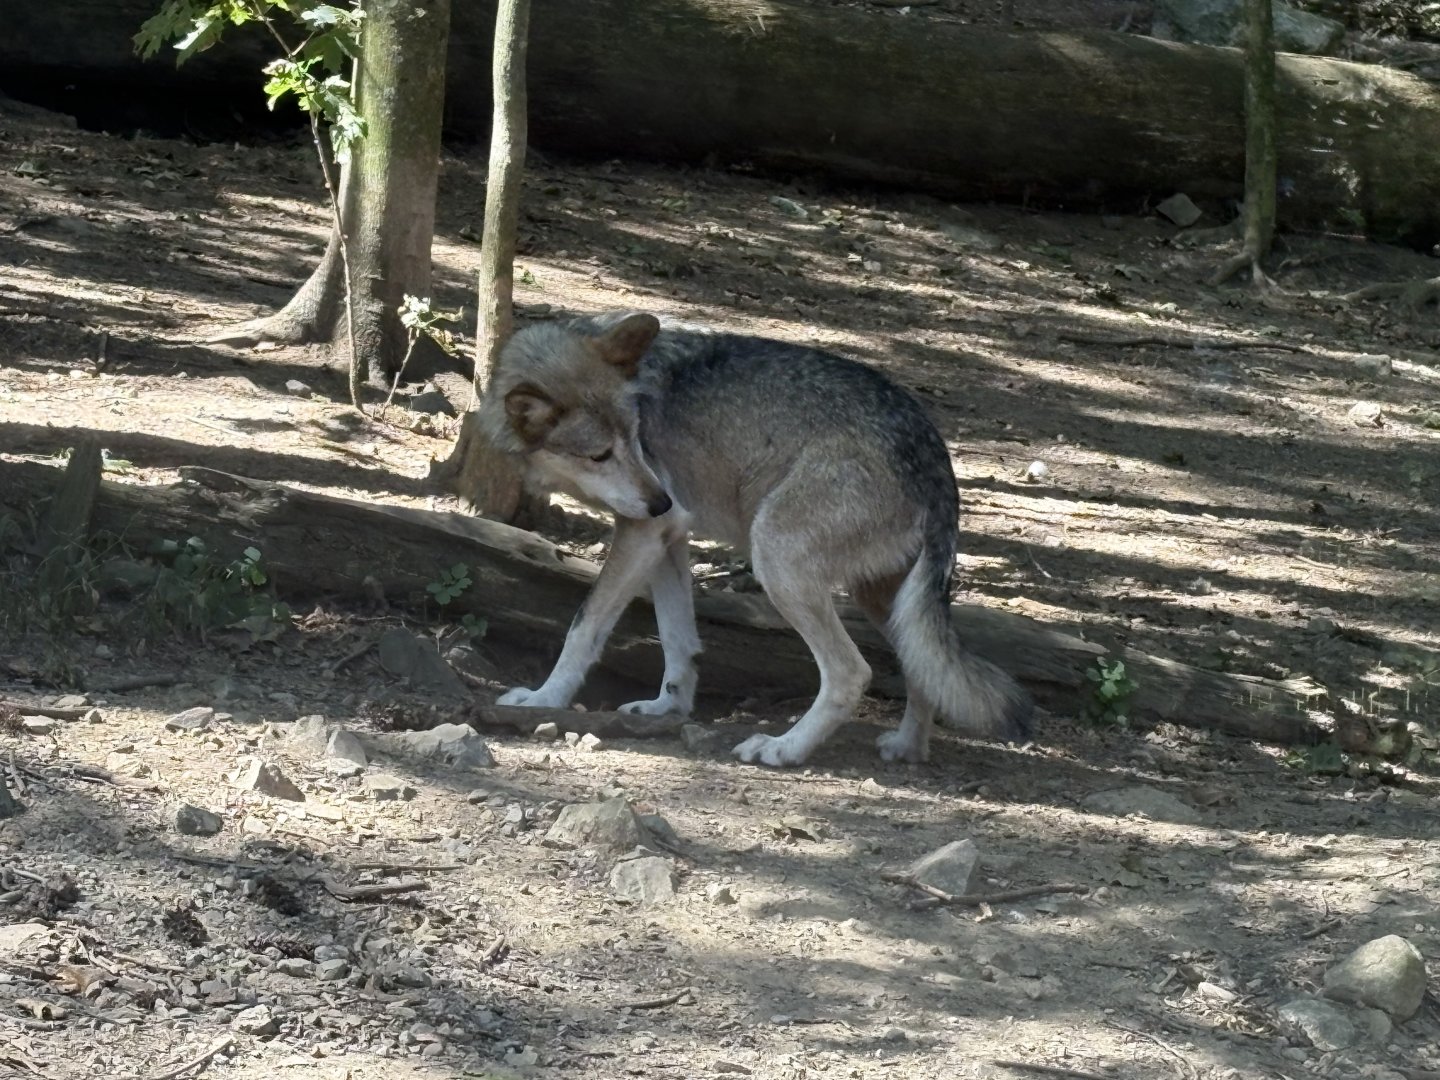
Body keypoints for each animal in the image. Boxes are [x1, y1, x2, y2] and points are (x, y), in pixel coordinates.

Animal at [480, 310, 1033, 767]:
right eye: (600, 455)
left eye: (636, 439)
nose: (662, 499)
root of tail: (935, 452)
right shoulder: (667, 537)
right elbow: (678, 639)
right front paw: (667, 707)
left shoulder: (645, 530)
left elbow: (584, 625)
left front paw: (544, 700)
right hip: (884, 599)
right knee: (923, 668)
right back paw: (906, 749)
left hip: (777, 559)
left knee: (851, 673)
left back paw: (785, 749)